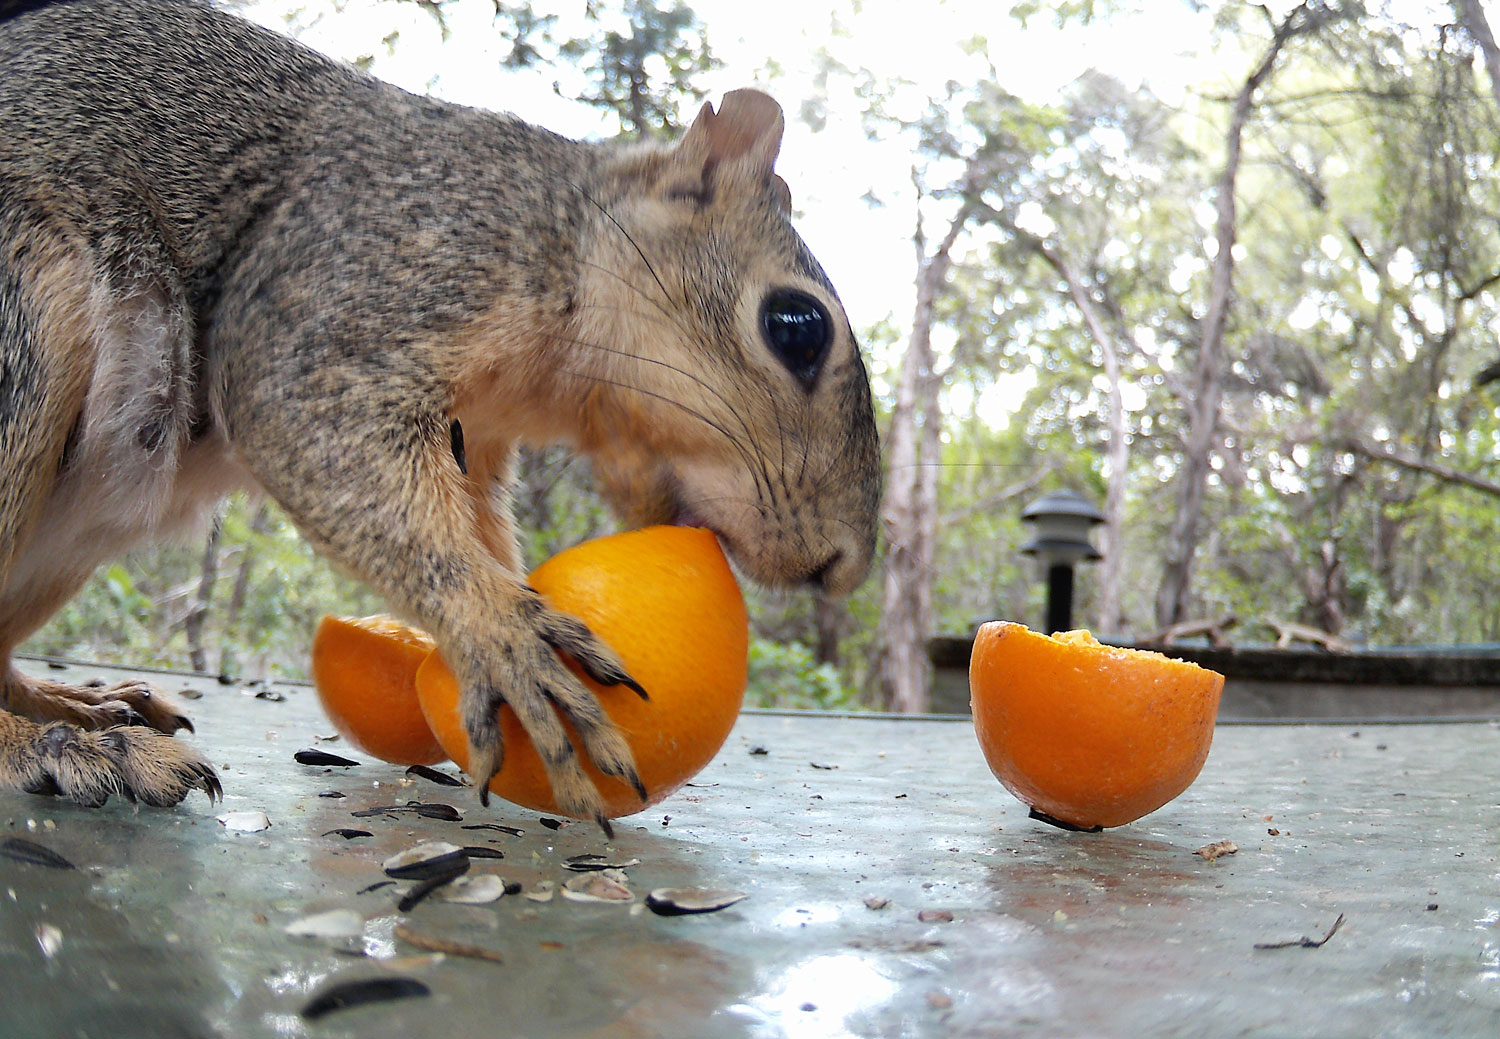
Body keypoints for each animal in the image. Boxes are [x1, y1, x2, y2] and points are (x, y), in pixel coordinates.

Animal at [0, 0, 882, 827]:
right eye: (796, 327)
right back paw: (61, 744)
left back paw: (74, 704)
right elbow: (304, 412)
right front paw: (504, 635)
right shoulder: (369, 266)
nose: (842, 568)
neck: (560, 238)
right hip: (24, 338)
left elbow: (481, 527)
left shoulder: (480, 440)